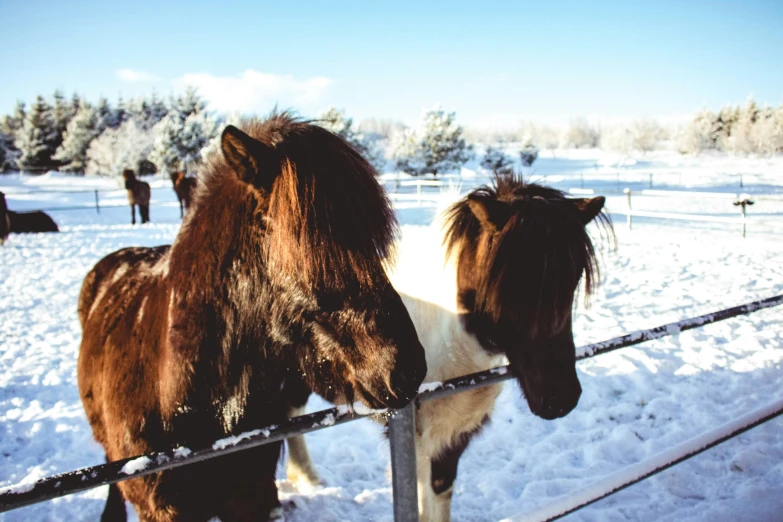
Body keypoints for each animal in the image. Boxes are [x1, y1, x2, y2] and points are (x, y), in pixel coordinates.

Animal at [284, 173, 612, 516]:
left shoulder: (453, 435)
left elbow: (440, 493)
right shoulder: (415, 437)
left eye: (575, 277)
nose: (561, 399)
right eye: (508, 282)